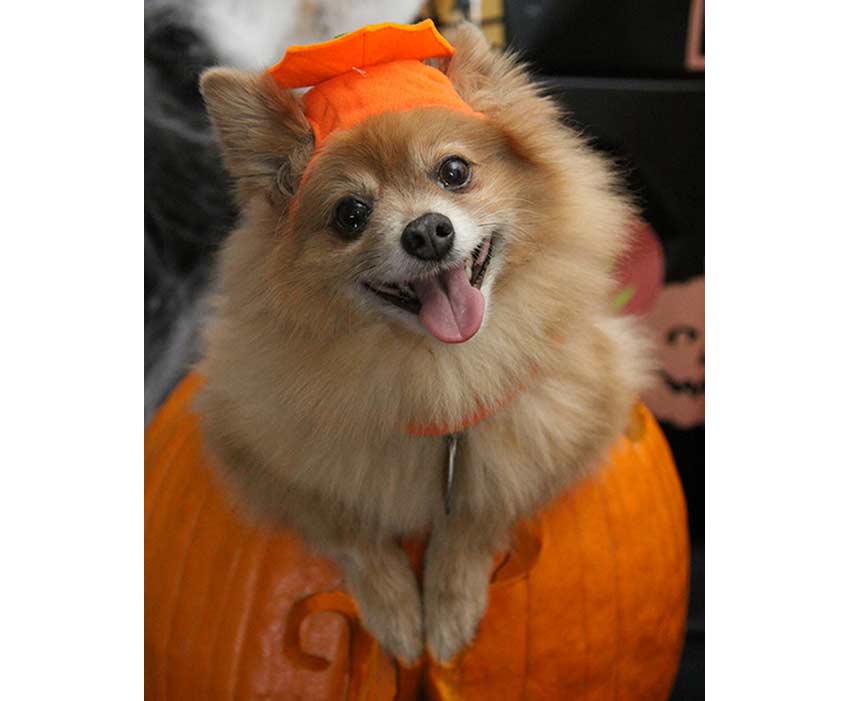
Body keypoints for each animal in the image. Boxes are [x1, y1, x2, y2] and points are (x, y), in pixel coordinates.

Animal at [196, 22, 651, 664]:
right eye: (351, 214)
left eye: (454, 171)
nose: (428, 231)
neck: (440, 370)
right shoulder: (250, 452)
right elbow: (351, 529)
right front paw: (397, 613)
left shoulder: (580, 426)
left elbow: (483, 509)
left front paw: (449, 604)